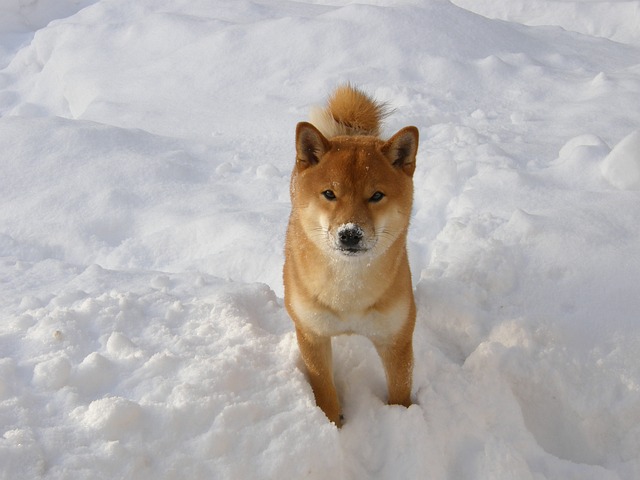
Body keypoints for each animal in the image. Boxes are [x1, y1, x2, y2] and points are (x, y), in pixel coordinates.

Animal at [282, 84, 418, 426]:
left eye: (377, 195)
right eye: (330, 193)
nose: (350, 233)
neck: (348, 290)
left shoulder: (395, 338)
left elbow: (400, 391)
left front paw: (403, 421)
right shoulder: (312, 334)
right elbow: (324, 390)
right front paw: (332, 425)